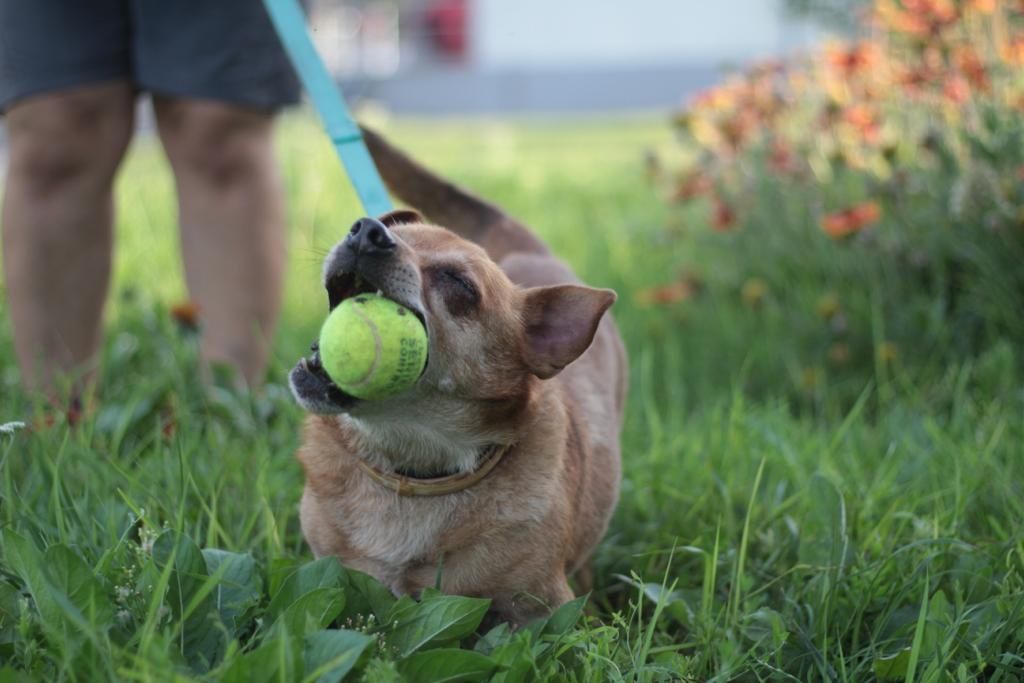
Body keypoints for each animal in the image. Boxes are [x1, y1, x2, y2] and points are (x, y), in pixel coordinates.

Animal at [286, 126, 622, 626]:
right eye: (396, 232)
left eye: (459, 284)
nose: (367, 231)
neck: (413, 467)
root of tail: (527, 247)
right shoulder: (337, 580)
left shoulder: (544, 612)